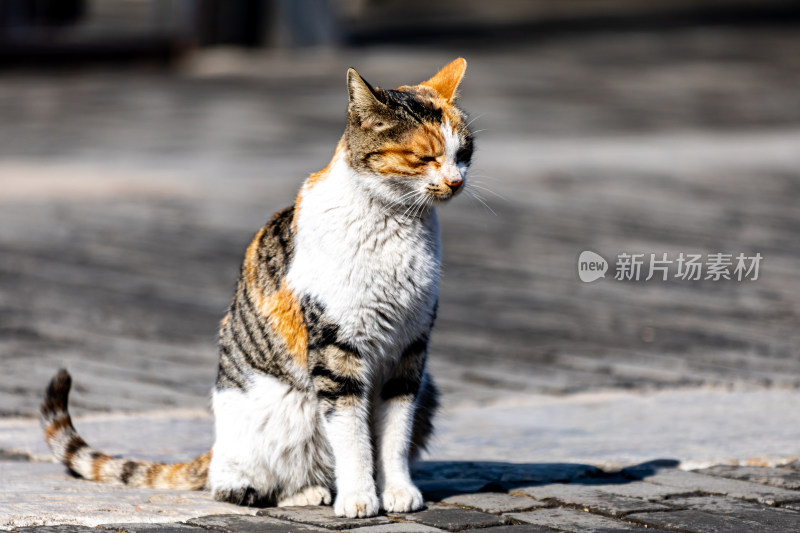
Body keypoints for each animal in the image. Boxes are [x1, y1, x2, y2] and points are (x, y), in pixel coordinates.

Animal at [40, 59, 472, 520]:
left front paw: (398, 491)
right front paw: (358, 497)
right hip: (285, 413)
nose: (456, 182)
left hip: (429, 389)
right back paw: (309, 493)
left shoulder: (410, 352)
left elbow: (394, 434)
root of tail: (215, 449)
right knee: (236, 487)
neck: (398, 225)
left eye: (464, 153)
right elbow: (351, 435)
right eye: (424, 157)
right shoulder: (336, 352)